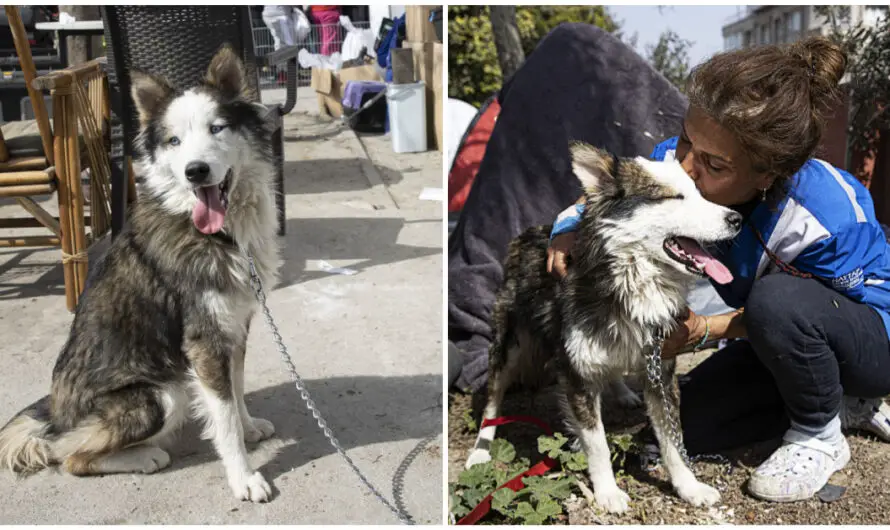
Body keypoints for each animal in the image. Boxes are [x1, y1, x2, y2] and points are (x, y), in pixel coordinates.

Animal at [0, 44, 280, 500]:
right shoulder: (204, 340)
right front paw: (244, 477)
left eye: (217, 128)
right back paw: (145, 457)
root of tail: (54, 413)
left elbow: (236, 391)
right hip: (163, 393)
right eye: (174, 140)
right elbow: (223, 418)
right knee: (67, 455)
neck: (216, 233)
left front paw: (250, 426)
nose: (195, 171)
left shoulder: (234, 327)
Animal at [464, 141, 744, 512]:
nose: (737, 219)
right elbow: (597, 443)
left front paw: (689, 486)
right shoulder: (577, 376)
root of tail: (526, 233)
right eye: (673, 197)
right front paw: (607, 492)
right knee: (493, 401)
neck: (632, 282)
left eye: (700, 192)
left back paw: (623, 392)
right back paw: (481, 450)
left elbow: (672, 439)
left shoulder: (661, 370)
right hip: (509, 344)